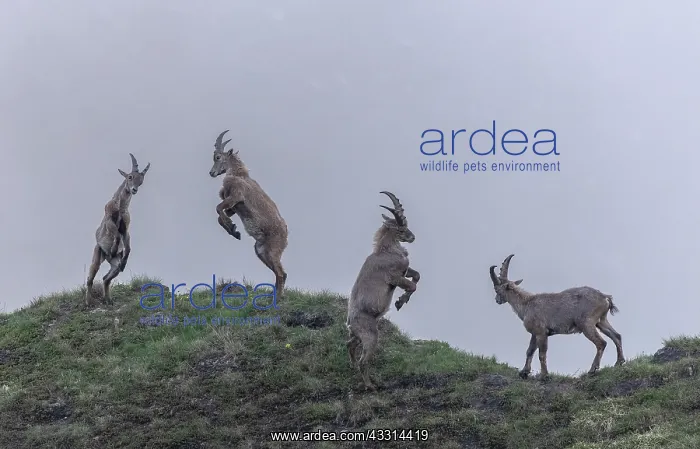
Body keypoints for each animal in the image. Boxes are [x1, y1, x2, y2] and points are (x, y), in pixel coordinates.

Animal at [86, 153, 150, 305]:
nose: (134, 190)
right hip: (98, 254)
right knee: (90, 278)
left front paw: (125, 262)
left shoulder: (125, 227)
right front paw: (114, 248)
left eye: (141, 181)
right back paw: (88, 302)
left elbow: (128, 245)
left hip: (114, 264)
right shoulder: (109, 220)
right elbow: (115, 234)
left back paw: (108, 300)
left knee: (106, 278)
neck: (120, 207)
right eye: (130, 177)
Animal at [208, 130, 289, 298]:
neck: (238, 175)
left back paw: (278, 297)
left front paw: (232, 229)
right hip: (260, 251)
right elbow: (220, 215)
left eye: (218, 157)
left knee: (281, 273)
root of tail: (286, 236)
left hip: (272, 250)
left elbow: (218, 208)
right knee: (278, 273)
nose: (211, 172)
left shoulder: (236, 197)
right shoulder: (233, 207)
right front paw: (234, 231)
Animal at [346, 191, 420, 390]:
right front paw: (400, 302)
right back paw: (370, 385)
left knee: (349, 345)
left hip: (358, 336)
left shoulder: (405, 272)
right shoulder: (394, 277)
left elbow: (417, 276)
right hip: (371, 335)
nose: (412, 237)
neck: (386, 250)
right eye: (401, 229)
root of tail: (350, 322)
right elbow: (412, 285)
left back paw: (355, 370)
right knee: (364, 360)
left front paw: (401, 300)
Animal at [489, 254, 625, 379]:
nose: (497, 300)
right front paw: (524, 372)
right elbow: (529, 351)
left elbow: (541, 354)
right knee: (616, 336)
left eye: (497, 290)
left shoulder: (541, 332)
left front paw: (544, 375)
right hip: (601, 321)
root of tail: (605, 297)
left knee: (601, 343)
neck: (527, 304)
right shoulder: (534, 333)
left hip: (587, 323)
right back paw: (619, 362)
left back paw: (592, 370)